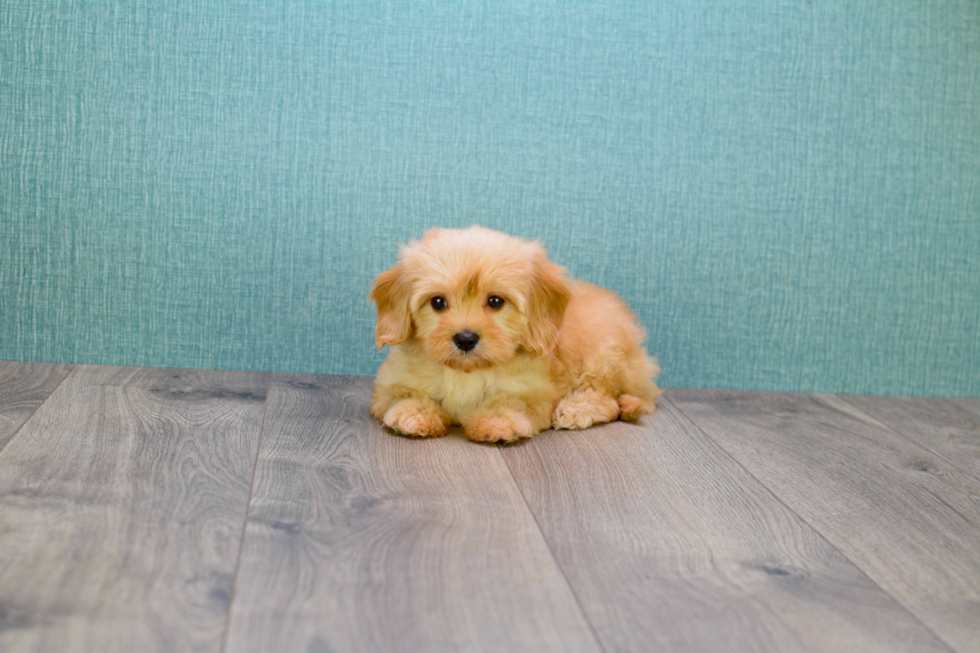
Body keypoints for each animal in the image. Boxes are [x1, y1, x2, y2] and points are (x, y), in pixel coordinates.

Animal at [372, 225, 664, 444]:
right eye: (437, 302)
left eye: (495, 302)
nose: (465, 339)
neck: (468, 371)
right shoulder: (391, 383)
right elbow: (403, 394)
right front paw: (414, 414)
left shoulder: (534, 390)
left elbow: (511, 402)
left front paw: (497, 422)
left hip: (604, 352)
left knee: (607, 398)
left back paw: (575, 409)